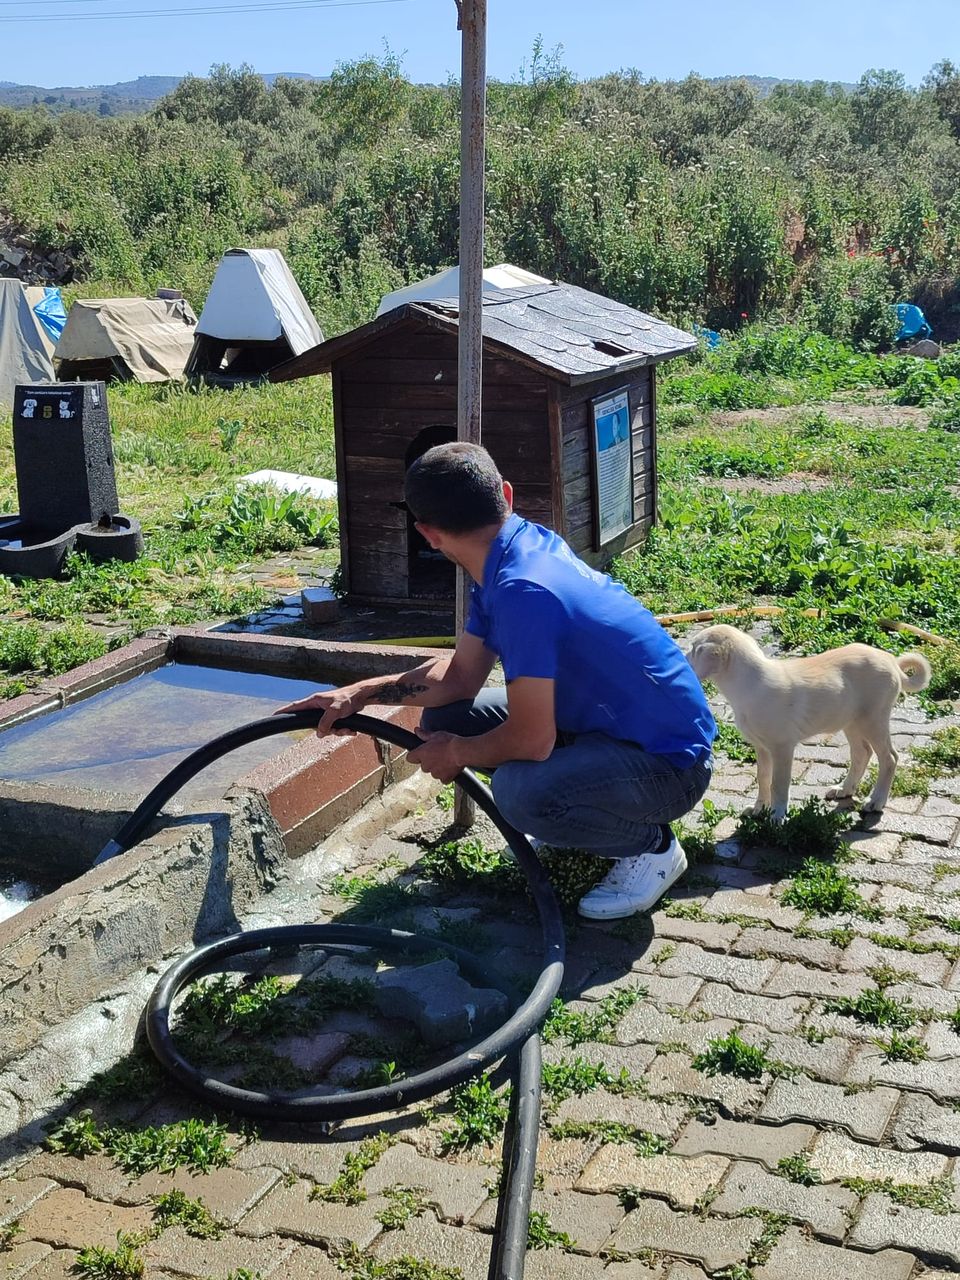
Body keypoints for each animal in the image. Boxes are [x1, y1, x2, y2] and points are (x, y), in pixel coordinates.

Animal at [686, 622, 936, 819]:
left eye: (693, 649)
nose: (682, 659)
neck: (748, 684)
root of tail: (891, 660)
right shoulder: (762, 747)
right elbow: (763, 778)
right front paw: (759, 809)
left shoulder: (782, 748)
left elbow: (779, 785)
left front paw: (776, 817)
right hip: (852, 721)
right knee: (862, 753)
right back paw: (845, 789)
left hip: (873, 720)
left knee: (889, 758)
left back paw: (876, 801)